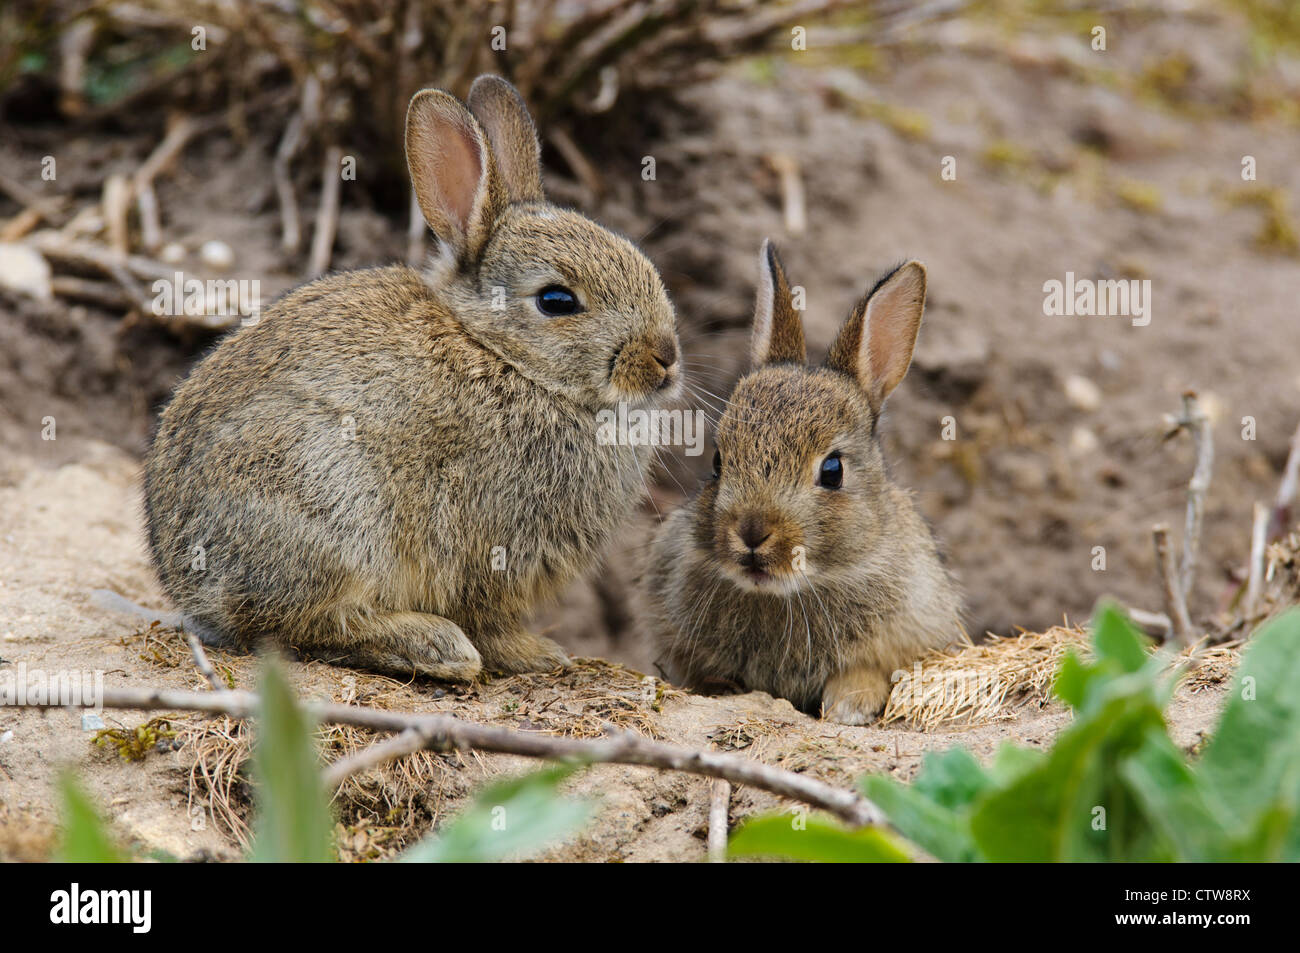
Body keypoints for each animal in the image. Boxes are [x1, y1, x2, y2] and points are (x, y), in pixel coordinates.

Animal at [143, 75, 682, 681]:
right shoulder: (487, 548)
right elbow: (489, 619)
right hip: (330, 510)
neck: (503, 355)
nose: (665, 356)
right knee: (305, 624)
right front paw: (537, 656)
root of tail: (185, 579)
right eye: (557, 301)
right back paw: (434, 646)